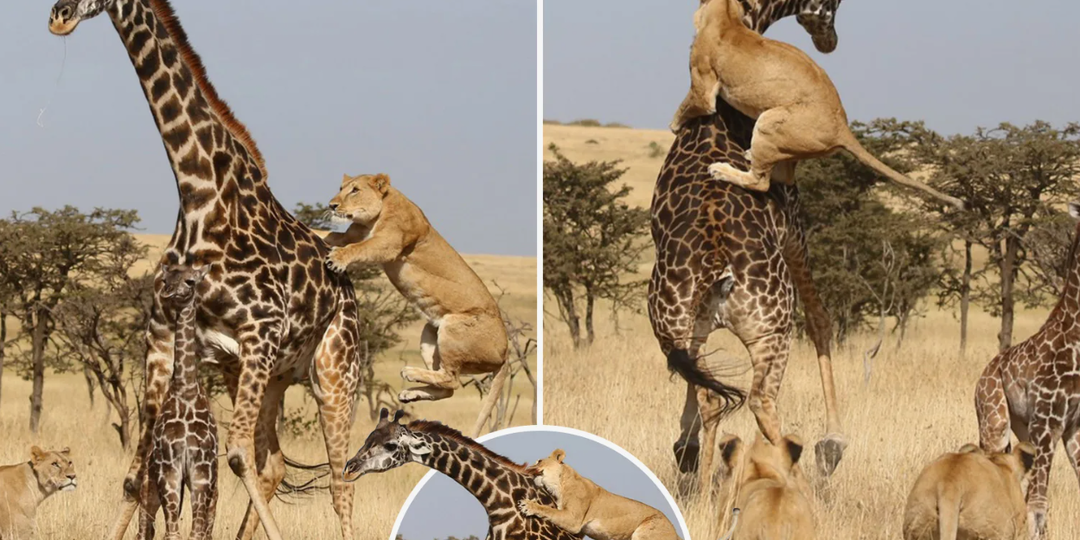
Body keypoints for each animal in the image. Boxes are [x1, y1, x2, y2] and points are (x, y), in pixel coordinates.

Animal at [141, 264, 217, 540]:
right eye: (165, 279)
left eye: (191, 281)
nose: (169, 292)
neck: (186, 389)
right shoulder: (169, 470)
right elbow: (172, 532)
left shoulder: (202, 471)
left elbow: (195, 533)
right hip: (151, 486)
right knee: (145, 529)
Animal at [648, 0, 847, 494]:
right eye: (834, 6)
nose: (829, 41)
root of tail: (719, 262)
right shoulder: (794, 225)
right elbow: (821, 319)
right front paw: (833, 444)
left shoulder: (692, 326)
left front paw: (685, 448)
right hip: (770, 330)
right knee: (757, 402)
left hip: (675, 322)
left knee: (712, 393)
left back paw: (703, 484)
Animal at [975, 202, 1080, 540]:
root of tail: (981, 378)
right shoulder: (1047, 424)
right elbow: (1037, 503)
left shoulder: (1073, 427)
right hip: (994, 422)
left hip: (1021, 427)